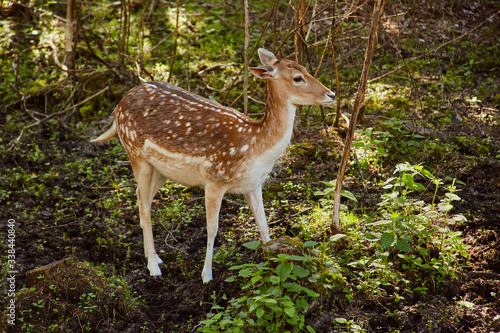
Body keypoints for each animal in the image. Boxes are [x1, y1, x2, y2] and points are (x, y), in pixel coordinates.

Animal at [94, 48, 336, 280]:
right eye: (297, 78)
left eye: (305, 69)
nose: (331, 94)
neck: (254, 147)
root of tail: (119, 103)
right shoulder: (214, 179)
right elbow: (212, 228)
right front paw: (206, 275)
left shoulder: (254, 184)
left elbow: (263, 224)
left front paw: (271, 261)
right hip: (134, 152)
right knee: (144, 205)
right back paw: (154, 267)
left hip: (162, 169)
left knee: (141, 197)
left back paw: (153, 256)